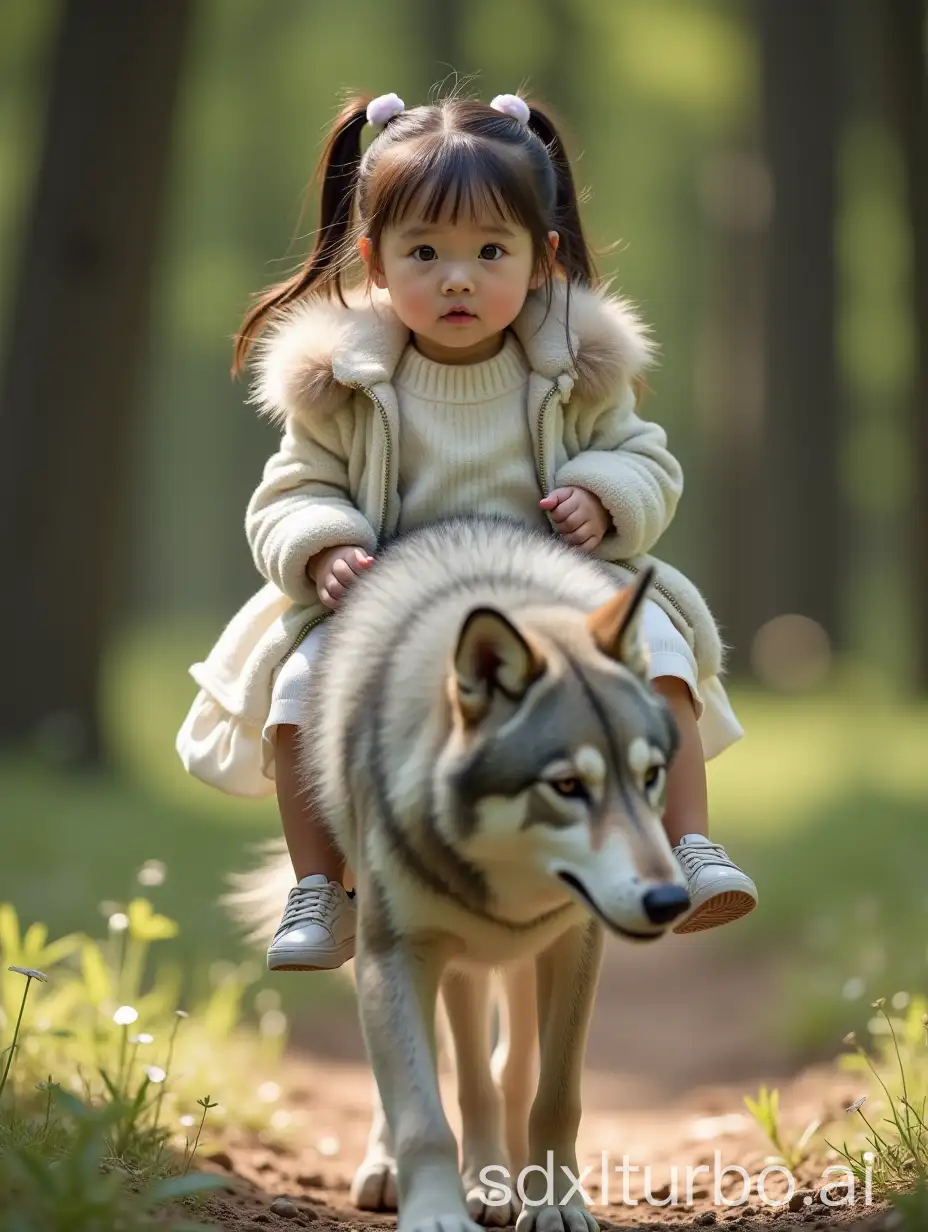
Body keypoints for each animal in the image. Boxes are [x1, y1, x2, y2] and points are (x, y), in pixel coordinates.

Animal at [232, 514, 690, 1232]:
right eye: (567, 785)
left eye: (651, 776)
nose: (669, 899)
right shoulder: (398, 952)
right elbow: (423, 1111)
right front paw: (438, 1212)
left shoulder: (574, 944)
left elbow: (554, 1096)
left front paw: (555, 1203)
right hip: (412, 949)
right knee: (448, 1076)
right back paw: (425, 1176)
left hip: (507, 960)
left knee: (503, 1067)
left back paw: (501, 1180)